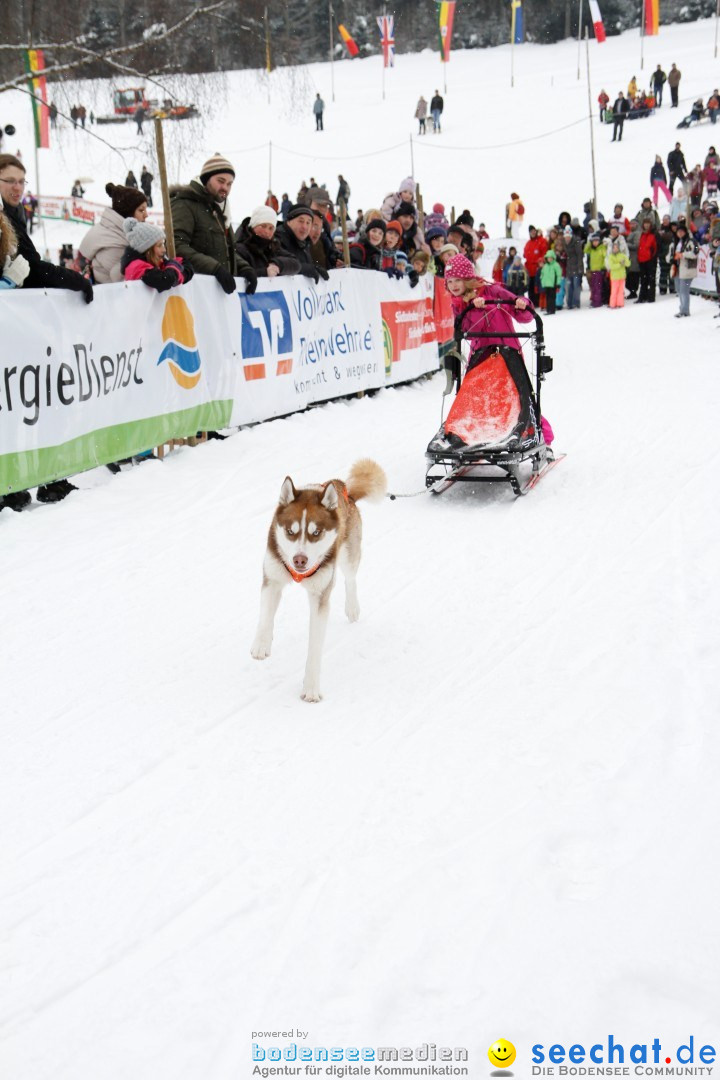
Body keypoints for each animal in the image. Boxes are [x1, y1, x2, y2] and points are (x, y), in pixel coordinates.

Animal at [253, 460, 388, 704]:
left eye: (316, 532)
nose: (299, 560)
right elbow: (266, 616)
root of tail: (346, 491)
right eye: (291, 531)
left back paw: (352, 607)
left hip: (348, 556)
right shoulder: (273, 577)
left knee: (350, 578)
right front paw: (261, 643)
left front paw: (311, 687)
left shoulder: (320, 597)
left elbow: (315, 648)